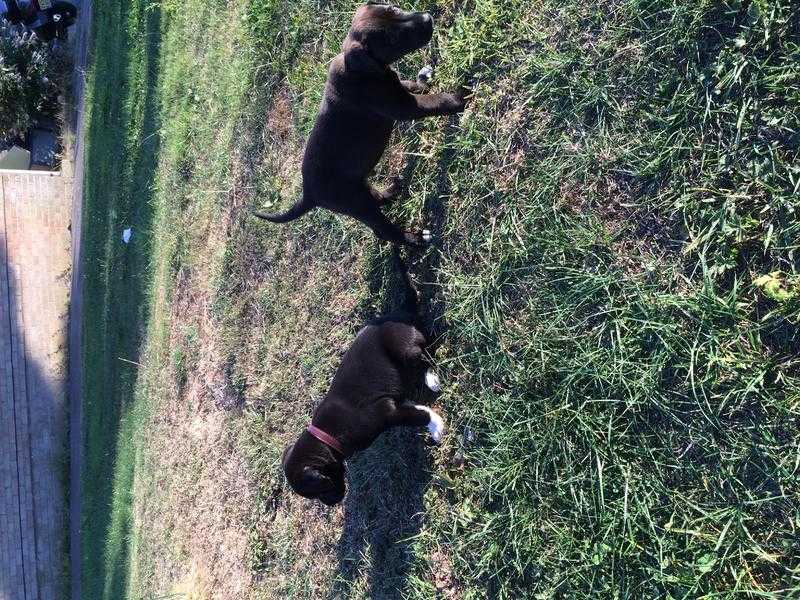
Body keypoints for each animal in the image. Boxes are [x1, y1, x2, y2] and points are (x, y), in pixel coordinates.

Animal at [255, 2, 468, 246]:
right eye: (391, 40)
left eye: (393, 9)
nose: (427, 19)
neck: (362, 71)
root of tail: (309, 194)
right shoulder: (403, 107)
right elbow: (434, 101)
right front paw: (458, 99)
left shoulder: (397, 88)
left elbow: (411, 85)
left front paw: (424, 79)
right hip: (357, 203)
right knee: (386, 231)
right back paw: (415, 239)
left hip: (360, 189)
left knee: (376, 207)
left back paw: (391, 192)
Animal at [282, 255, 444, 504]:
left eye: (319, 490)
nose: (332, 503)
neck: (327, 435)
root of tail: (400, 313)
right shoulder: (395, 403)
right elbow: (415, 408)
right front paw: (433, 419)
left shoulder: (386, 413)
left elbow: (417, 416)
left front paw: (436, 426)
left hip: (407, 350)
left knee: (429, 346)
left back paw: (431, 377)